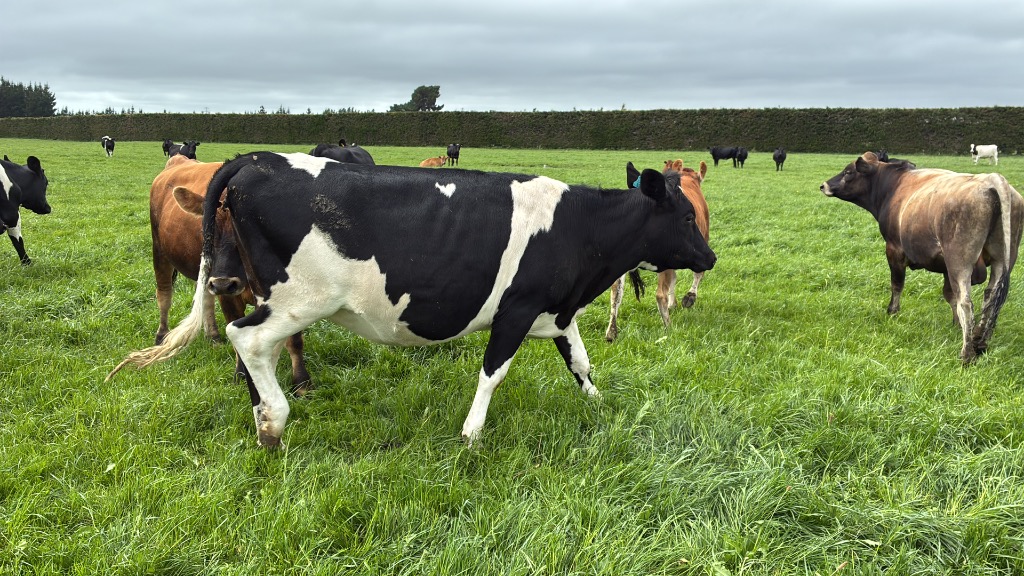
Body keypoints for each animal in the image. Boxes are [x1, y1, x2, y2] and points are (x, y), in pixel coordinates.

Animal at [605, 159, 711, 342]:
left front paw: (674, 303)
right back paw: (669, 328)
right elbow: (698, 274)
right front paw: (688, 298)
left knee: (615, 291)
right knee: (660, 293)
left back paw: (611, 332)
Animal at [821, 151, 1024, 364]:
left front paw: (892, 311)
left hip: (960, 262)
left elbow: (897, 285)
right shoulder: (945, 268)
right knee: (992, 299)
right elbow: (949, 295)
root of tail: (991, 179)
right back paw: (980, 342)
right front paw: (955, 324)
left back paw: (966, 354)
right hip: (1002, 260)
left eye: (848, 171)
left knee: (966, 303)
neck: (893, 186)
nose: (823, 185)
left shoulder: (894, 249)